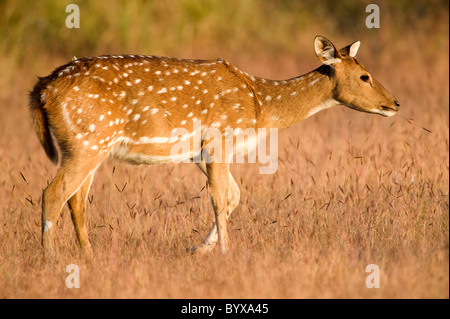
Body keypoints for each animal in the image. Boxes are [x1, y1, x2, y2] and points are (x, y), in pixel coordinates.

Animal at [29, 35, 400, 260]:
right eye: (365, 76)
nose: (394, 103)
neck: (260, 107)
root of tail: (42, 89)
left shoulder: (201, 150)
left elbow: (233, 195)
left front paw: (197, 249)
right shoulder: (220, 137)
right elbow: (220, 197)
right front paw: (225, 253)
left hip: (90, 145)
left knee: (76, 199)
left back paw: (89, 258)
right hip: (87, 140)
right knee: (53, 193)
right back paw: (51, 261)